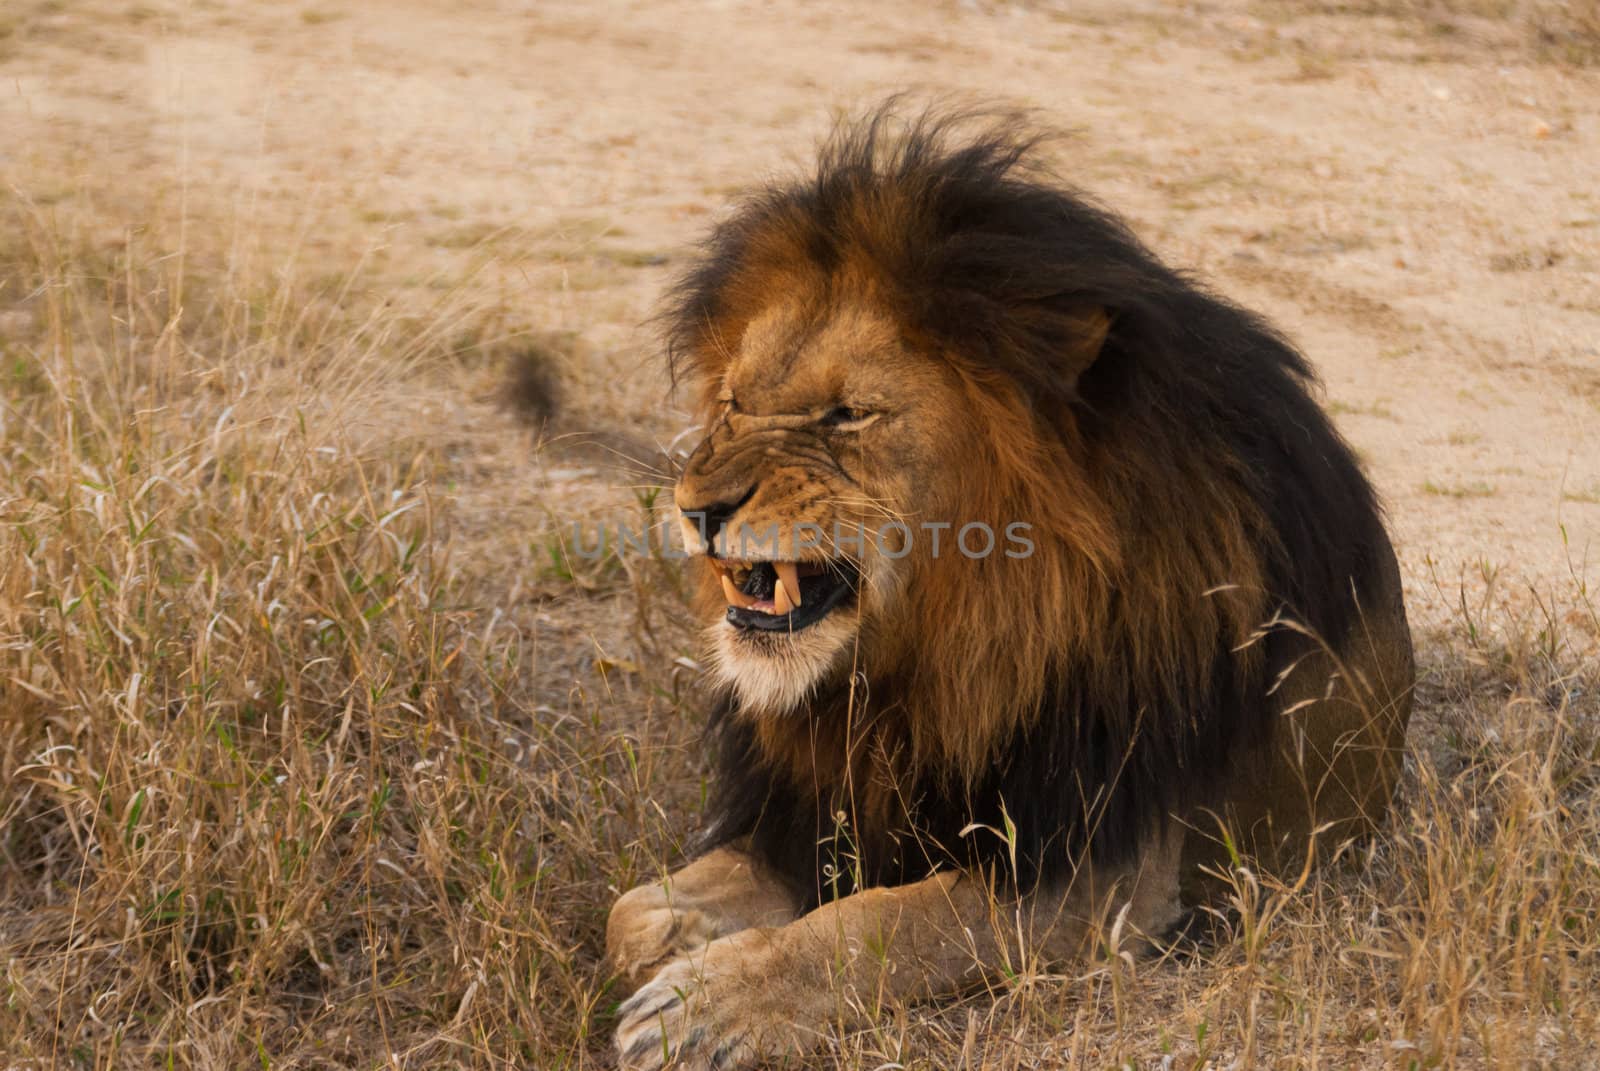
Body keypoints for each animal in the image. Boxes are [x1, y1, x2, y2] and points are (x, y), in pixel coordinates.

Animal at [601, 102, 1414, 1069]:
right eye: (732, 404)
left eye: (848, 415)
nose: (698, 508)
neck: (940, 654)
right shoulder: (823, 809)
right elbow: (629, 915)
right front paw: (679, 944)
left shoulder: (1101, 876)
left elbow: (876, 926)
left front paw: (709, 1000)